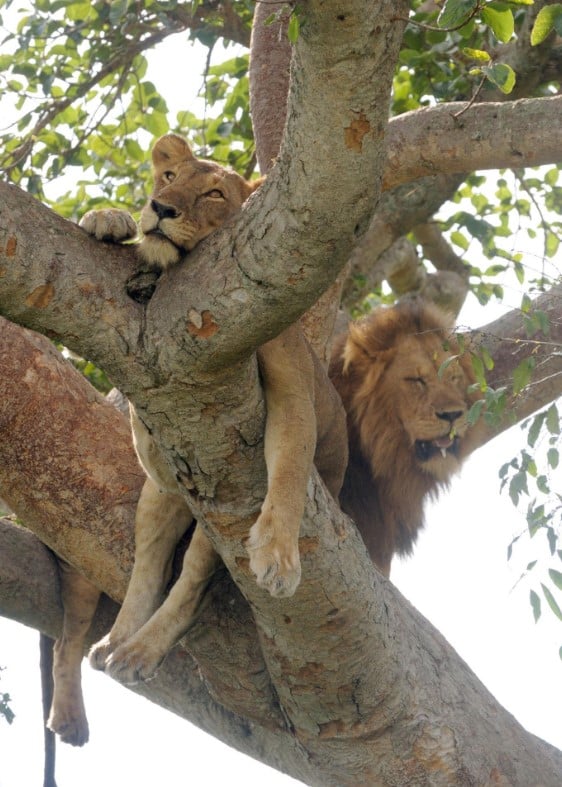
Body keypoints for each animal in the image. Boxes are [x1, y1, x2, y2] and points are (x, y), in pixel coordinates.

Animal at [78, 133, 348, 684]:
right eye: (169, 178)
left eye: (215, 195)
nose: (161, 208)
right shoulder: (158, 457)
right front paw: (107, 219)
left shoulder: (292, 391)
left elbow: (290, 466)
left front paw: (279, 557)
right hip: (159, 499)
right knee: (148, 569)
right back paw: (116, 643)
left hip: (215, 521)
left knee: (194, 577)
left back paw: (140, 652)